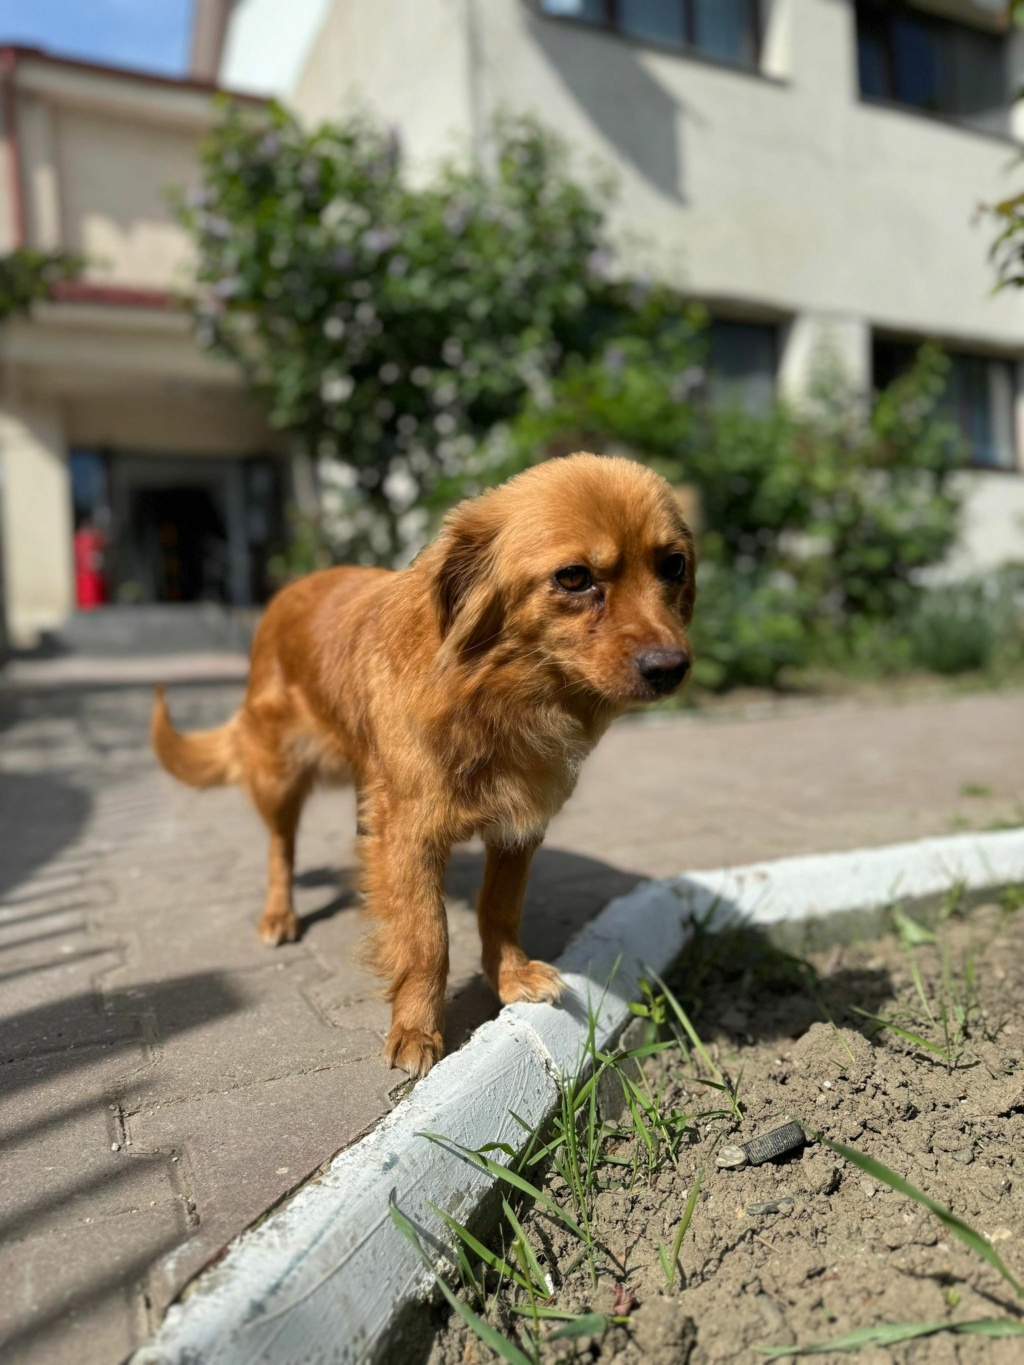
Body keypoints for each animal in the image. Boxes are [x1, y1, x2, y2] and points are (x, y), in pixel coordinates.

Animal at [152, 458, 699, 1075]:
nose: (671, 667)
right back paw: (279, 914)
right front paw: (416, 1027)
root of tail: (289, 590)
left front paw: (509, 975)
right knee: (280, 846)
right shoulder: (411, 834)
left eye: (674, 565)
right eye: (575, 578)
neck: (498, 696)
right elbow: (426, 937)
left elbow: (499, 907)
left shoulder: (519, 826)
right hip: (280, 774)